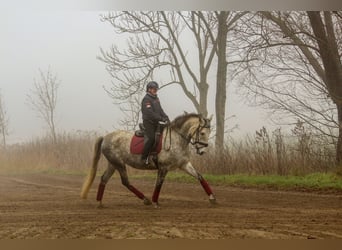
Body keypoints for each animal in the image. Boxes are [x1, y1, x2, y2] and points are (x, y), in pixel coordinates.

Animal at [80, 113, 216, 207]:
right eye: (202, 133)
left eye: (209, 132)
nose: (202, 151)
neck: (177, 139)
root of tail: (106, 137)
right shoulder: (163, 167)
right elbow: (159, 183)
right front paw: (155, 202)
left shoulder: (184, 164)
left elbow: (199, 176)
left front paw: (212, 198)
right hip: (119, 164)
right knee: (125, 182)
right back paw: (146, 200)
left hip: (112, 164)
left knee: (104, 179)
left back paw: (99, 202)